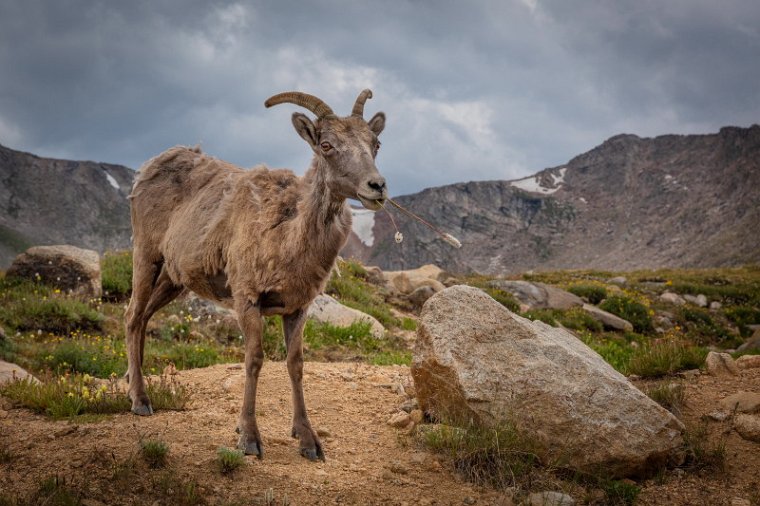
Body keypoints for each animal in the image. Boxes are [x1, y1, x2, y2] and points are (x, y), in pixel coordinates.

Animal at [126, 89, 386, 460]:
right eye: (326, 145)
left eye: (375, 143)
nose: (376, 186)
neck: (286, 237)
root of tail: (146, 169)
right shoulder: (247, 299)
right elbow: (254, 361)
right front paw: (249, 438)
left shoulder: (297, 308)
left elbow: (295, 364)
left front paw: (308, 442)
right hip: (147, 256)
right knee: (133, 317)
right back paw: (140, 400)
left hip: (173, 280)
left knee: (144, 318)